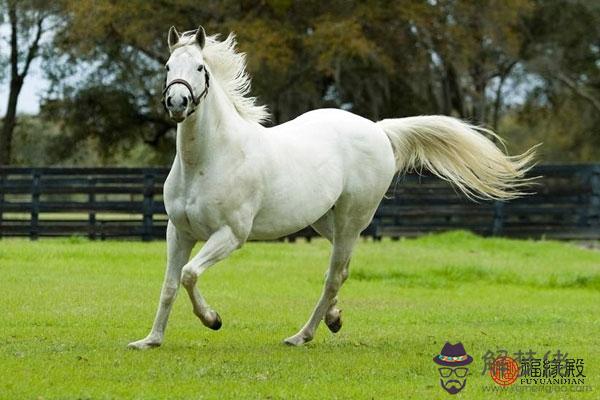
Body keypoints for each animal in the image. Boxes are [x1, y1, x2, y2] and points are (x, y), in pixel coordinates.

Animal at [129, 26, 532, 348]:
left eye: (201, 68)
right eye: (168, 67)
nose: (177, 102)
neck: (209, 159)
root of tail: (377, 129)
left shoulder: (231, 234)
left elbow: (189, 274)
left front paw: (213, 320)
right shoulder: (178, 232)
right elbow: (170, 284)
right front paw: (150, 341)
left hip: (353, 219)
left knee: (334, 275)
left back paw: (301, 335)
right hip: (327, 220)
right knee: (342, 270)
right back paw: (333, 319)